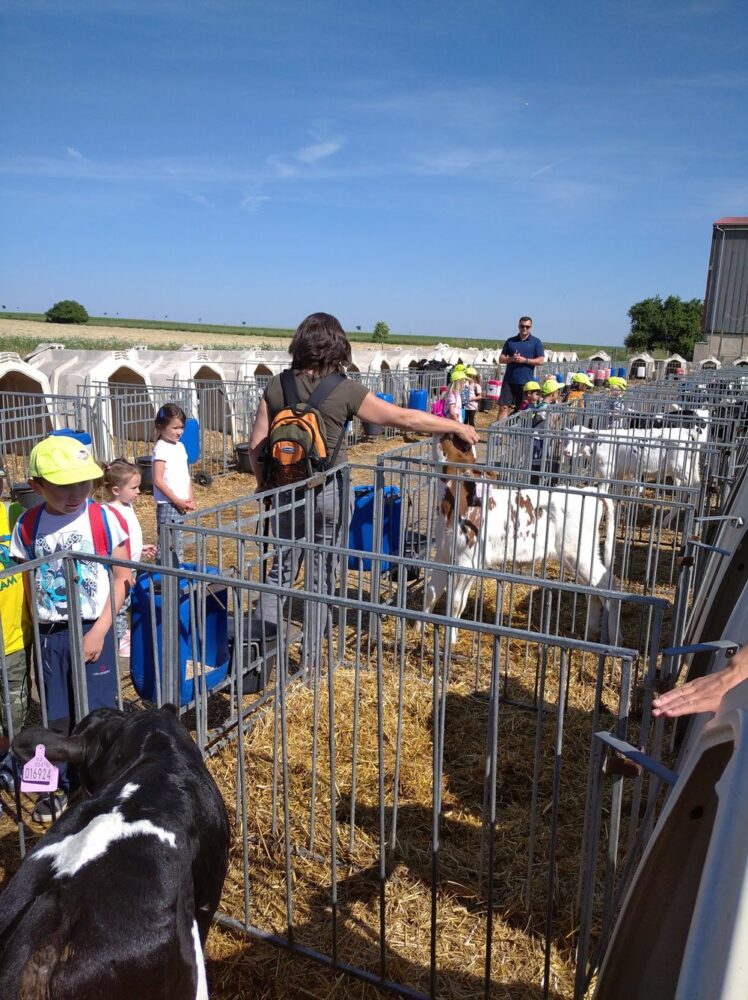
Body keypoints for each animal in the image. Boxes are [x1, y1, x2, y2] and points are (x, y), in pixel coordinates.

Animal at [424, 436, 616, 640]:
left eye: (464, 445)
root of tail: (591, 492)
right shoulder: (443, 554)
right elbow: (431, 593)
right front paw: (420, 630)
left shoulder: (468, 561)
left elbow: (456, 602)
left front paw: (450, 640)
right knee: (593, 590)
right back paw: (590, 632)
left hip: (578, 551)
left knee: (608, 583)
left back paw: (613, 637)